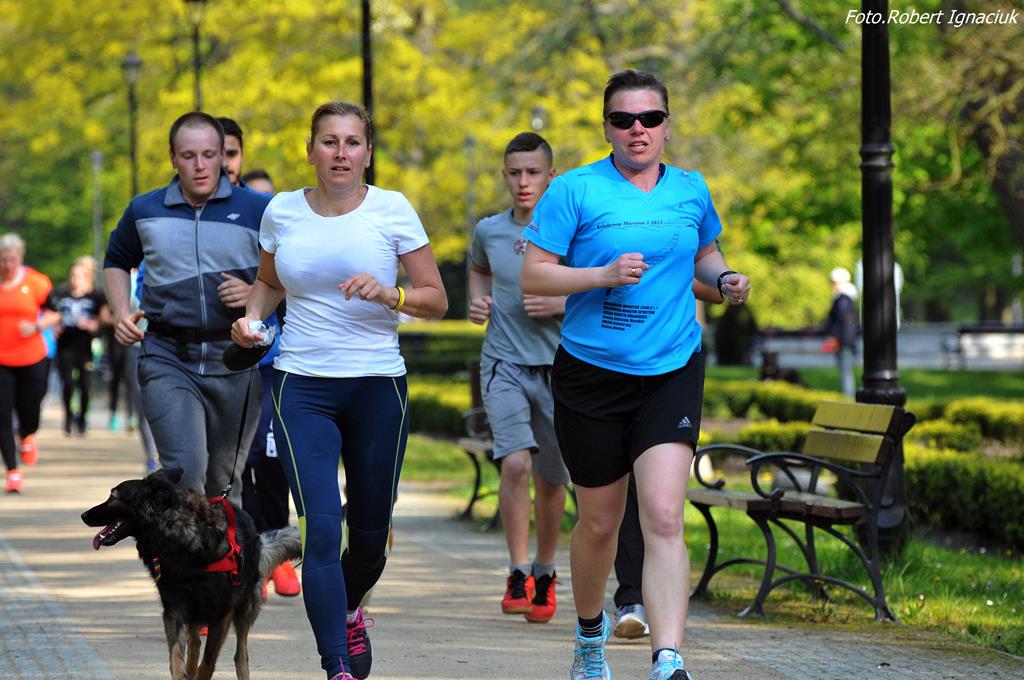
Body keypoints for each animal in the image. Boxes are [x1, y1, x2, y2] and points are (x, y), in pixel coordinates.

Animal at [81, 467, 301, 680]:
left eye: (113, 496)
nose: (83, 515)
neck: (179, 538)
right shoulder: (174, 610)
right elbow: (176, 658)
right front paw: (183, 671)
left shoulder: (221, 615)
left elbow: (208, 663)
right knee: (195, 645)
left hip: (244, 611)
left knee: (241, 654)